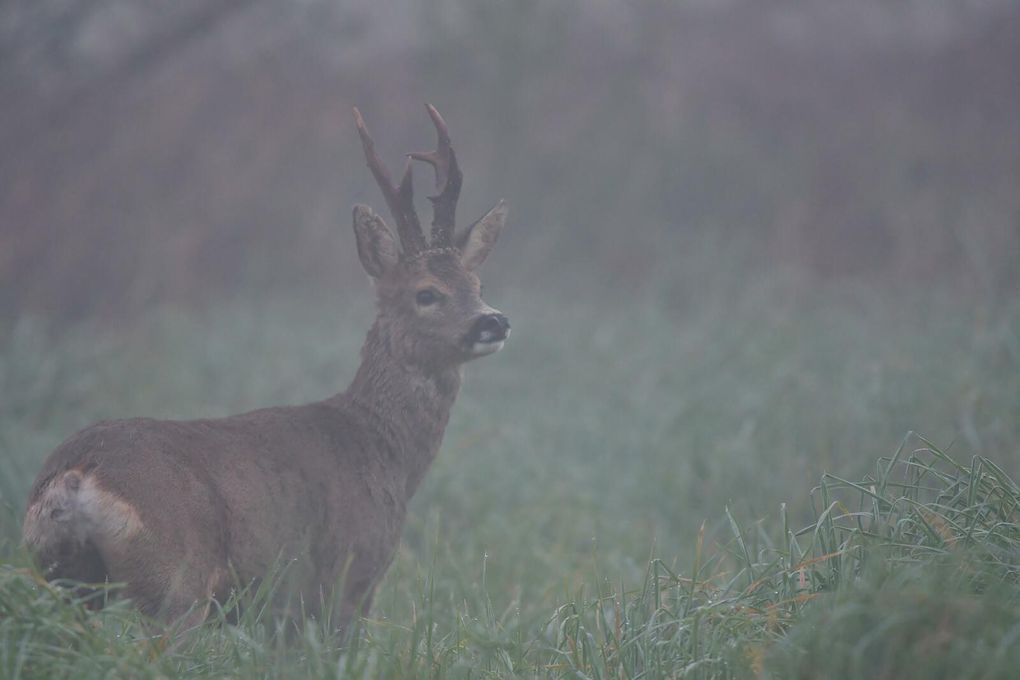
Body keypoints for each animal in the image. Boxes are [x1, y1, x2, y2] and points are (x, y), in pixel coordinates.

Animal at [18, 106, 505, 632]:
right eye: (426, 293)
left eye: (477, 285)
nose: (494, 321)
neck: (382, 448)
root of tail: (76, 476)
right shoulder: (348, 577)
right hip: (174, 583)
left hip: (62, 578)